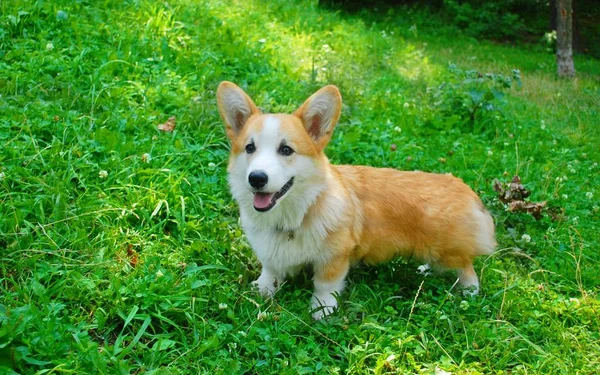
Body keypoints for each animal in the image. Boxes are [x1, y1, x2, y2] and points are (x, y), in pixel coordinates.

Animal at [217, 82, 496, 320]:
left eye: (286, 150)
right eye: (250, 148)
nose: (256, 178)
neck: (297, 213)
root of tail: (462, 186)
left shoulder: (335, 257)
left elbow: (325, 285)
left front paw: (322, 311)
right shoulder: (270, 255)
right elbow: (270, 271)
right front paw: (261, 291)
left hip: (446, 251)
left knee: (466, 266)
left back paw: (469, 292)